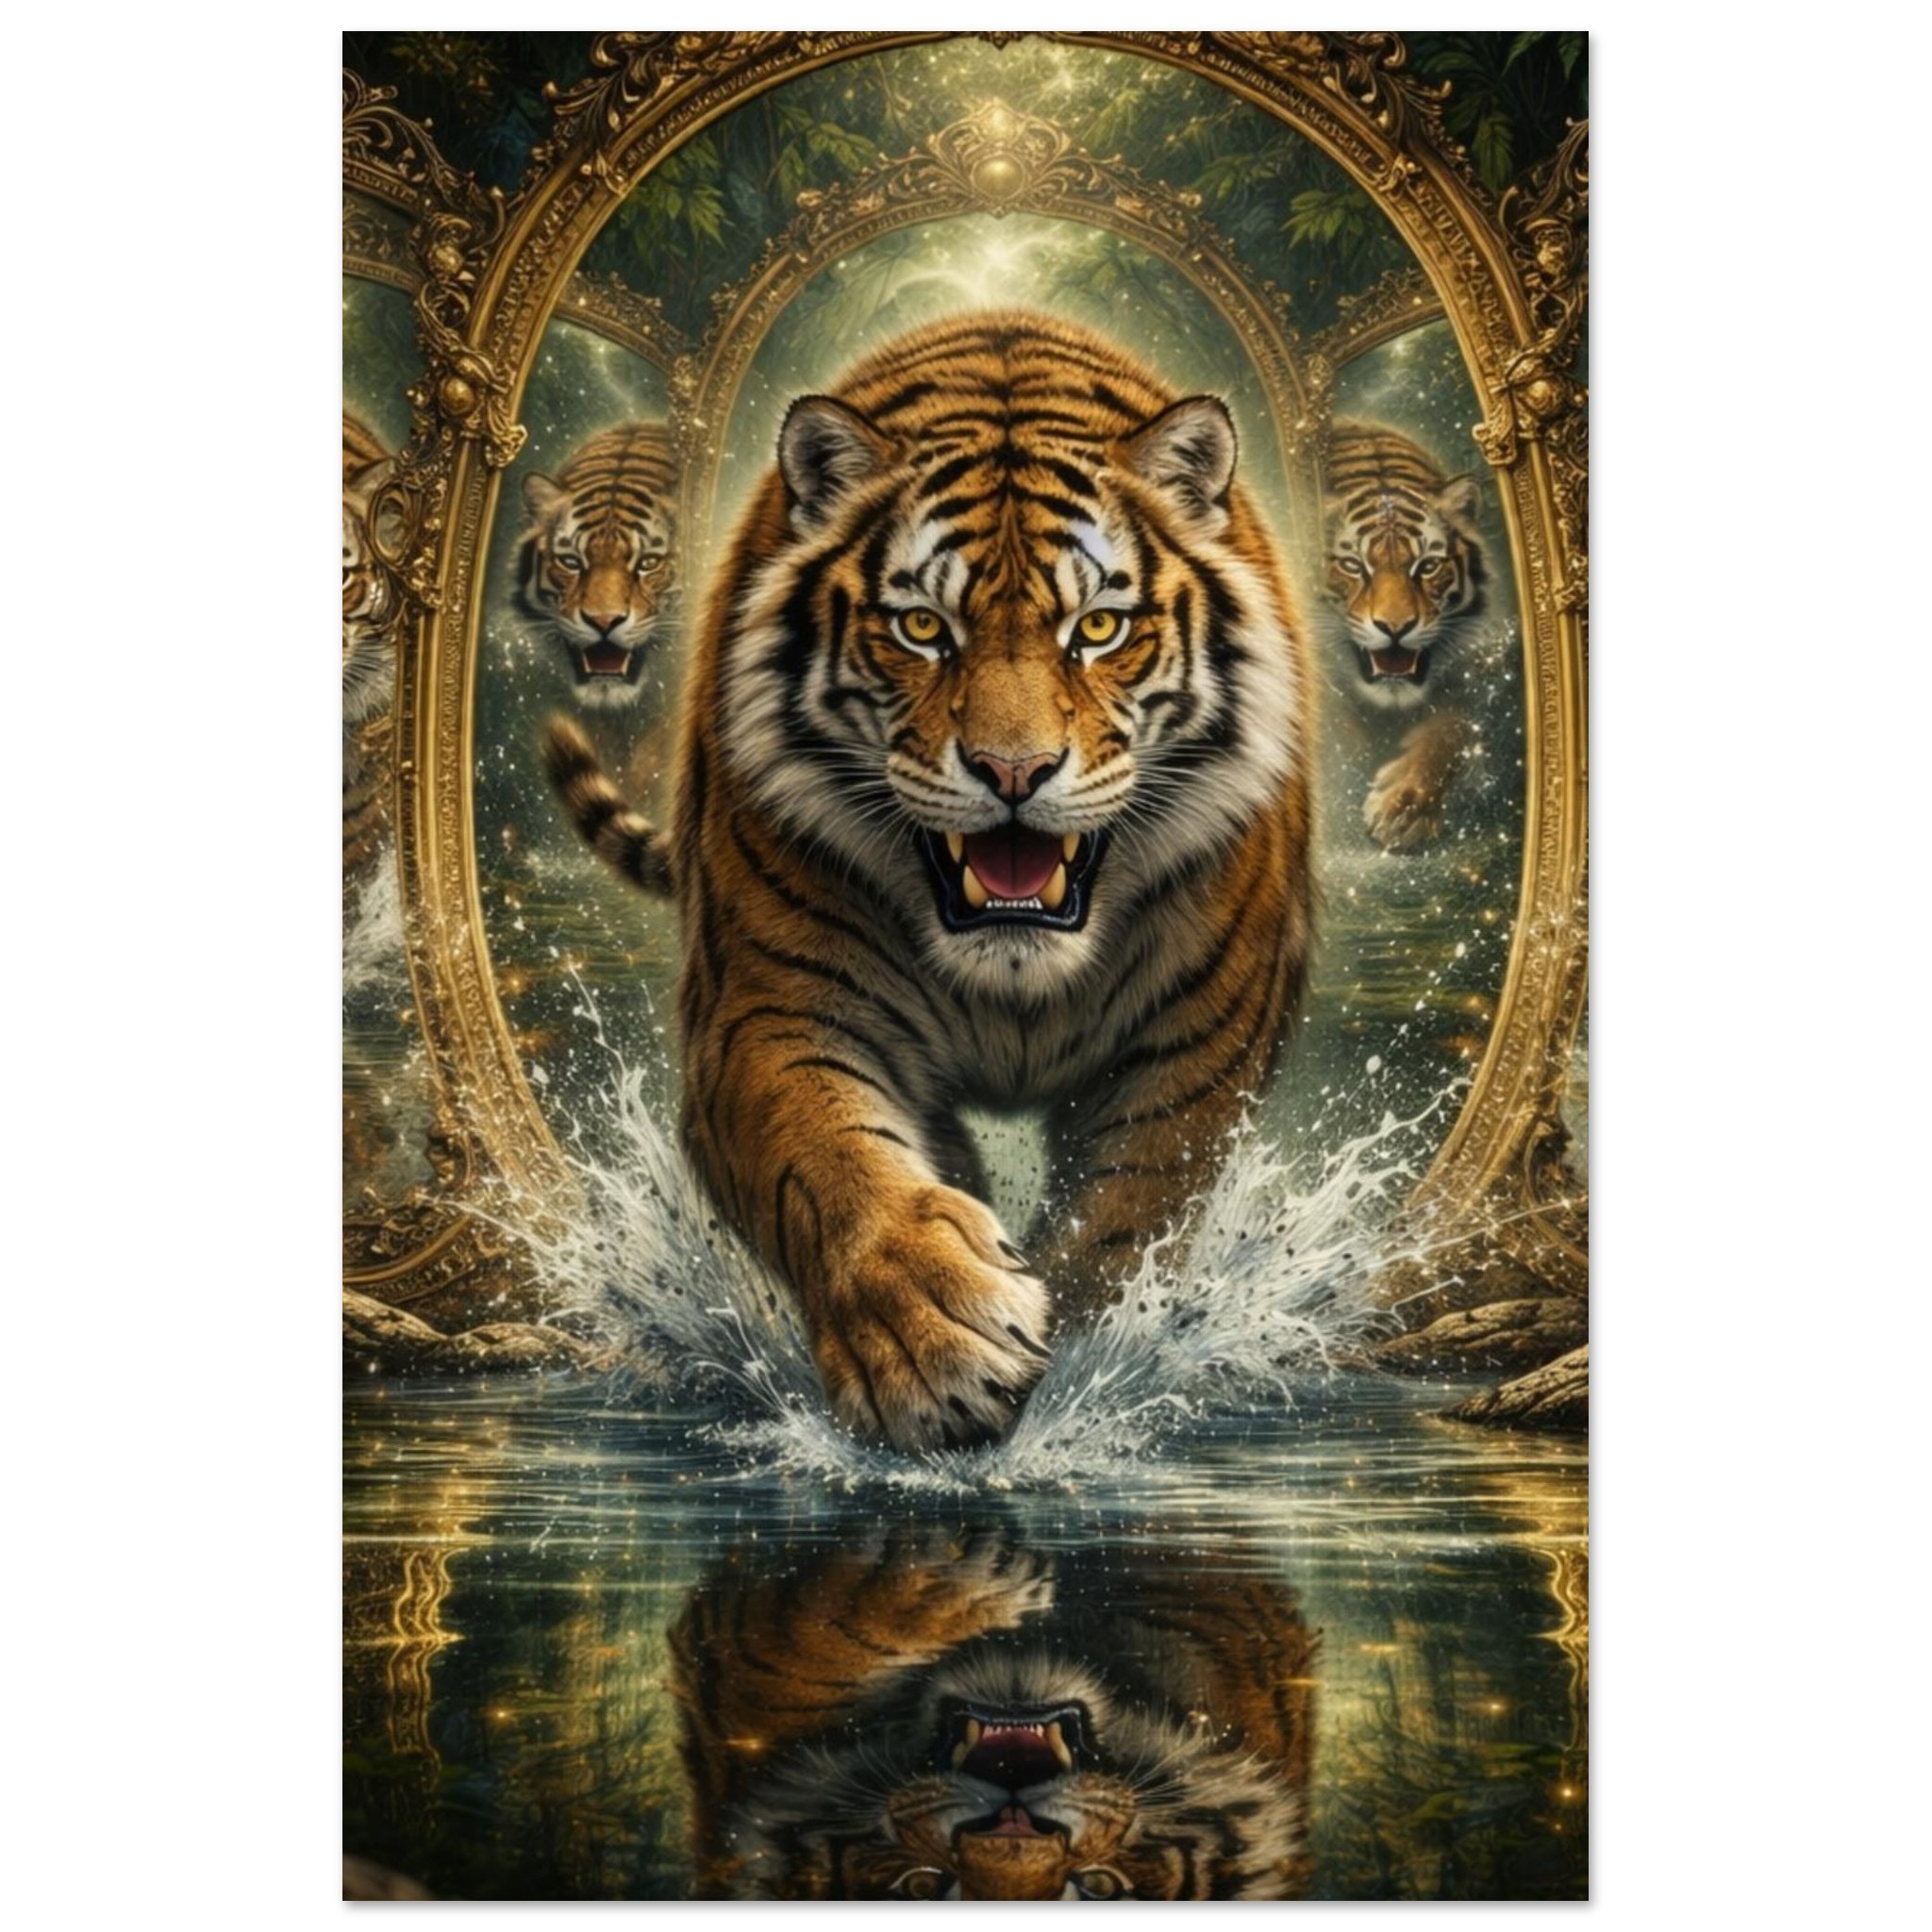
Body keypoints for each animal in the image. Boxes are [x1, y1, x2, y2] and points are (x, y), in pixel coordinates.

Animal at [546, 311, 1314, 1452]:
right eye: (922, 629)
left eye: (1096, 629)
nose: (1012, 771)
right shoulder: (765, 1013)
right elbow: (828, 1157)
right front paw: (931, 1337)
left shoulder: (1197, 1049)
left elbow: (1126, 1215)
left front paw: (1084, 1368)